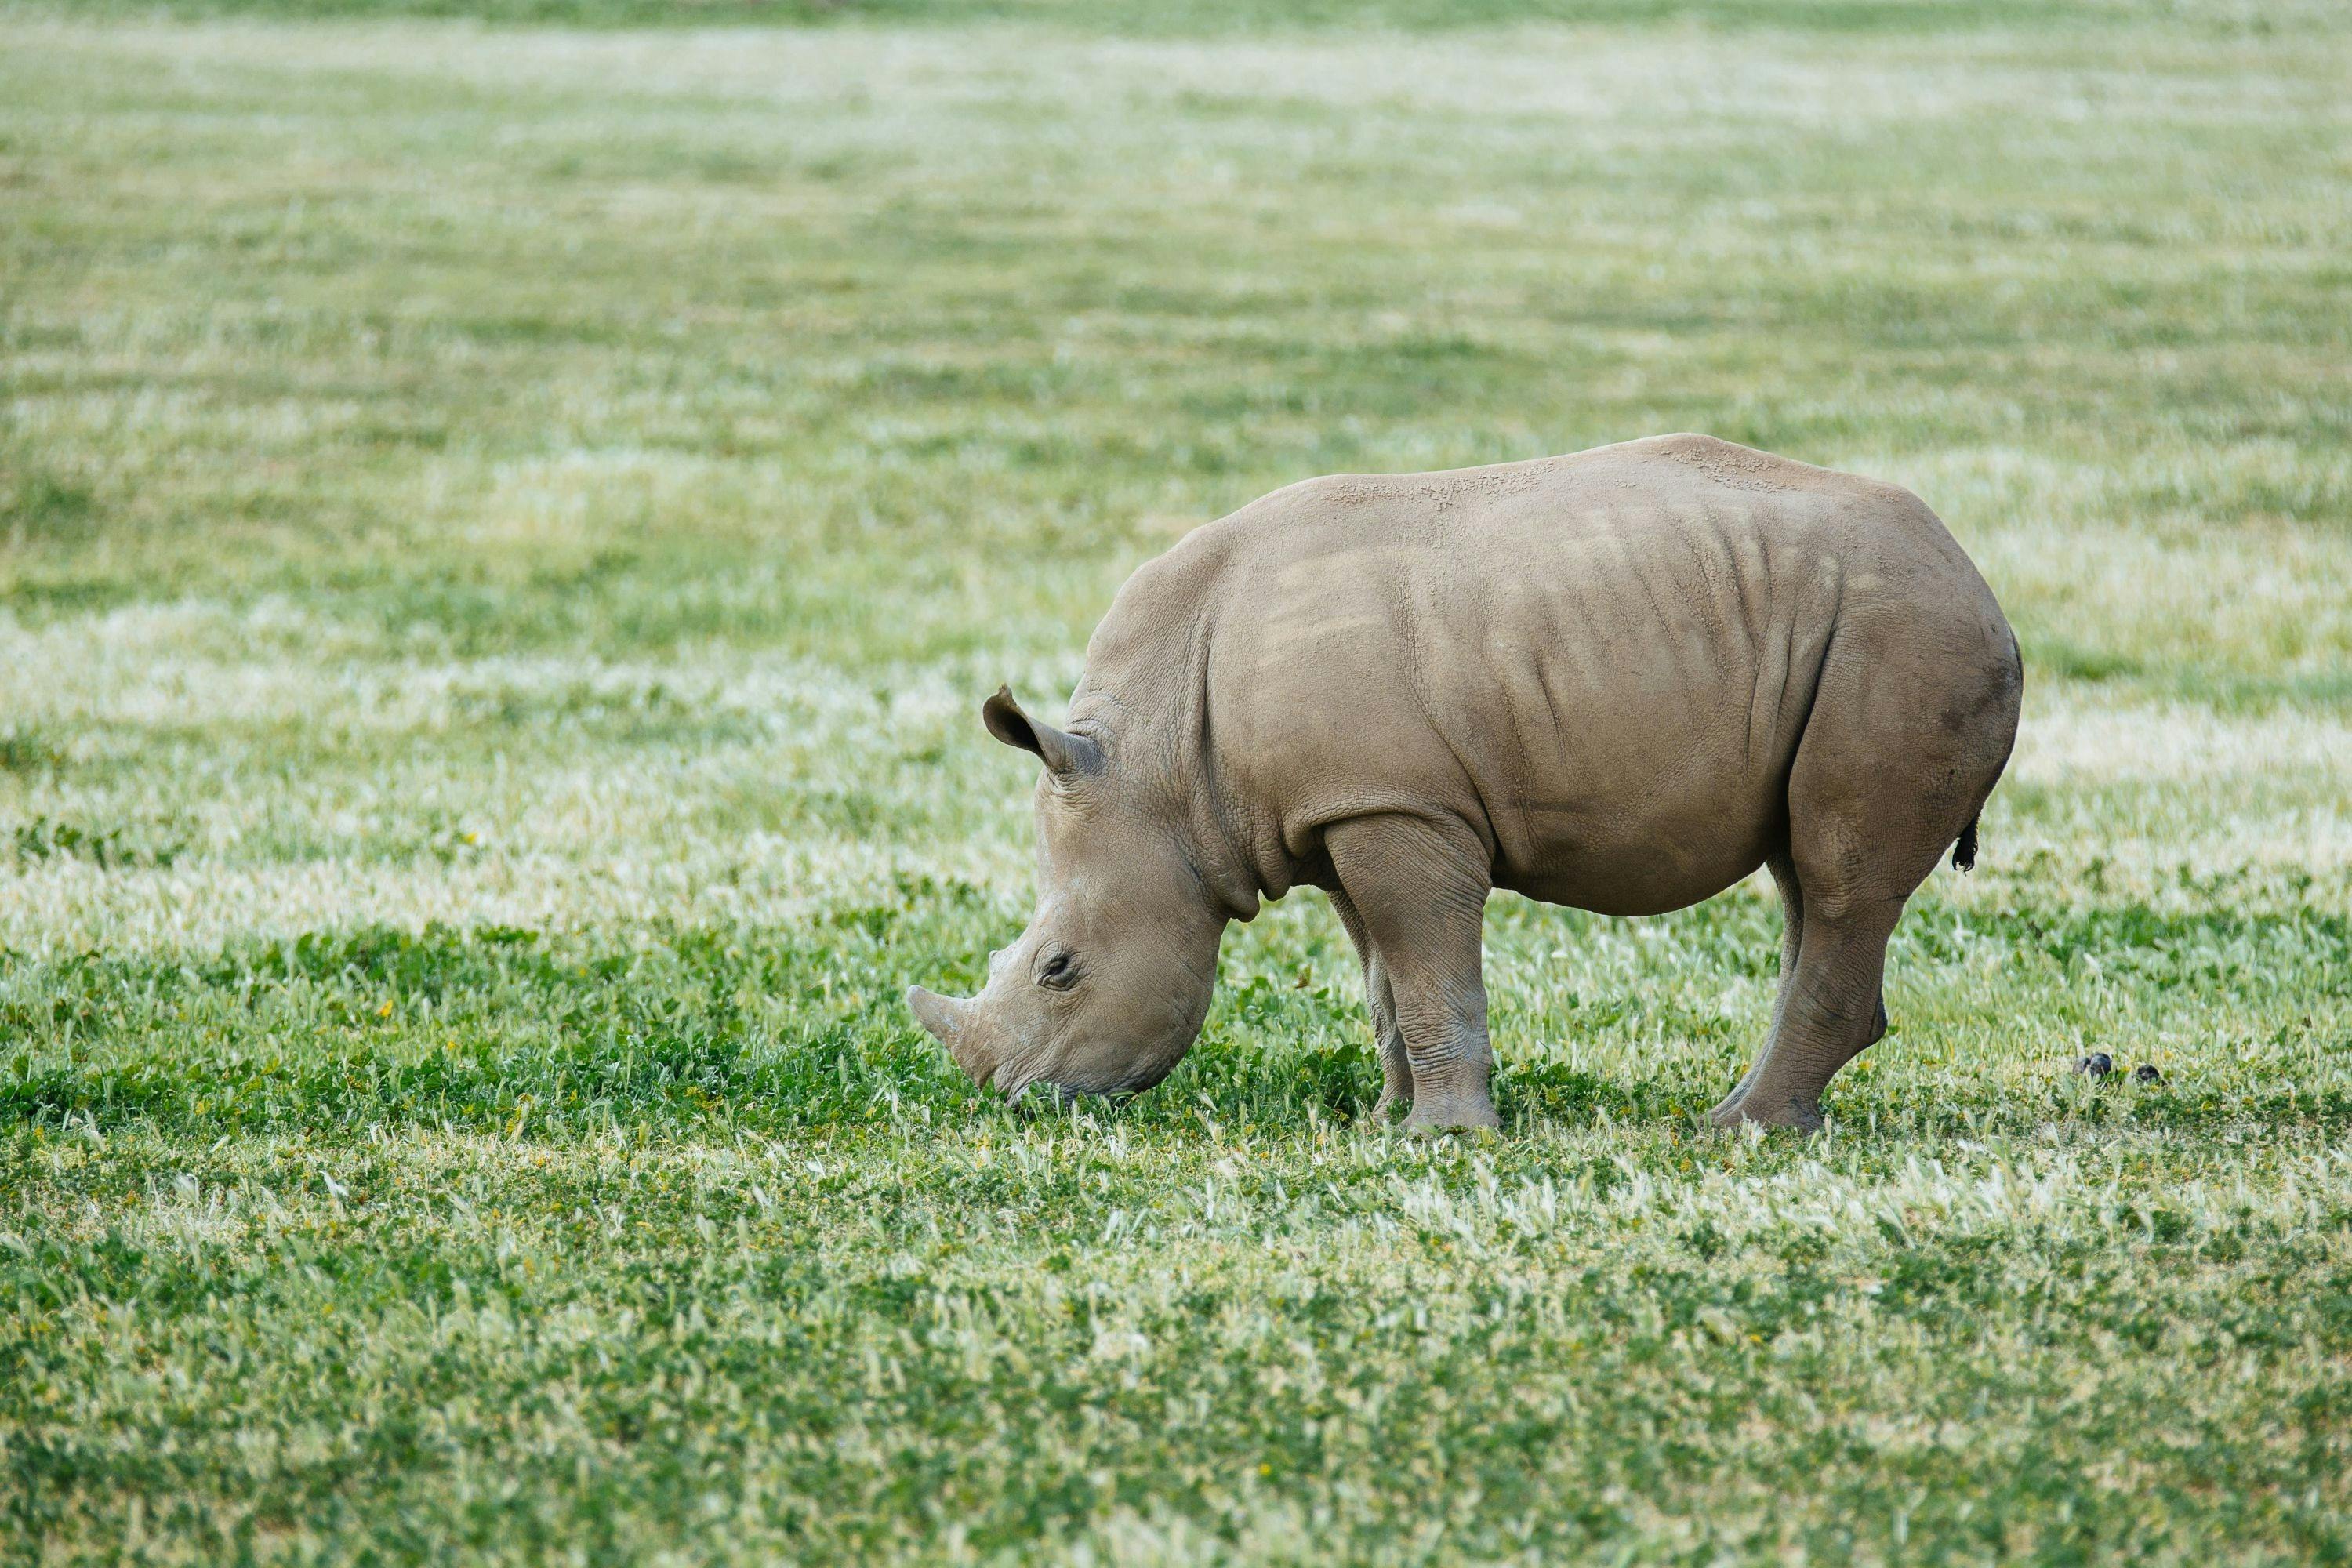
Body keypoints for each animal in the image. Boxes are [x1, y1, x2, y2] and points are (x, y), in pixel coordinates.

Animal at [908, 435, 2021, 1131]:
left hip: (1903, 637)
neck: (1160, 765)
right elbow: (1386, 976)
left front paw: (1445, 1137)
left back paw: (1734, 1131)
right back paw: (1767, 1120)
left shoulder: (1396, 805)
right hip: (1853, 635)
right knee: (1804, 875)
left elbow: (1427, 960)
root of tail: (1980, 583)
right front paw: (1385, 1121)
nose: (1013, 1101)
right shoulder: (1348, 807)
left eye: (1058, 968)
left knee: (1837, 878)